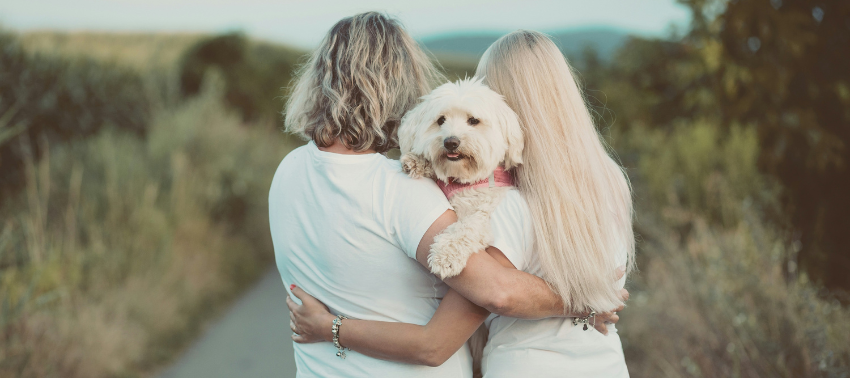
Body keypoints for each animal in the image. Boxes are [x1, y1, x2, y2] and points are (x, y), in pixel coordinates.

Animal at [400, 77, 524, 278]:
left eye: (473, 120)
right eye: (441, 120)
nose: (450, 142)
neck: (462, 179)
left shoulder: (483, 213)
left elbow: (467, 228)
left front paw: (445, 256)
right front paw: (417, 161)